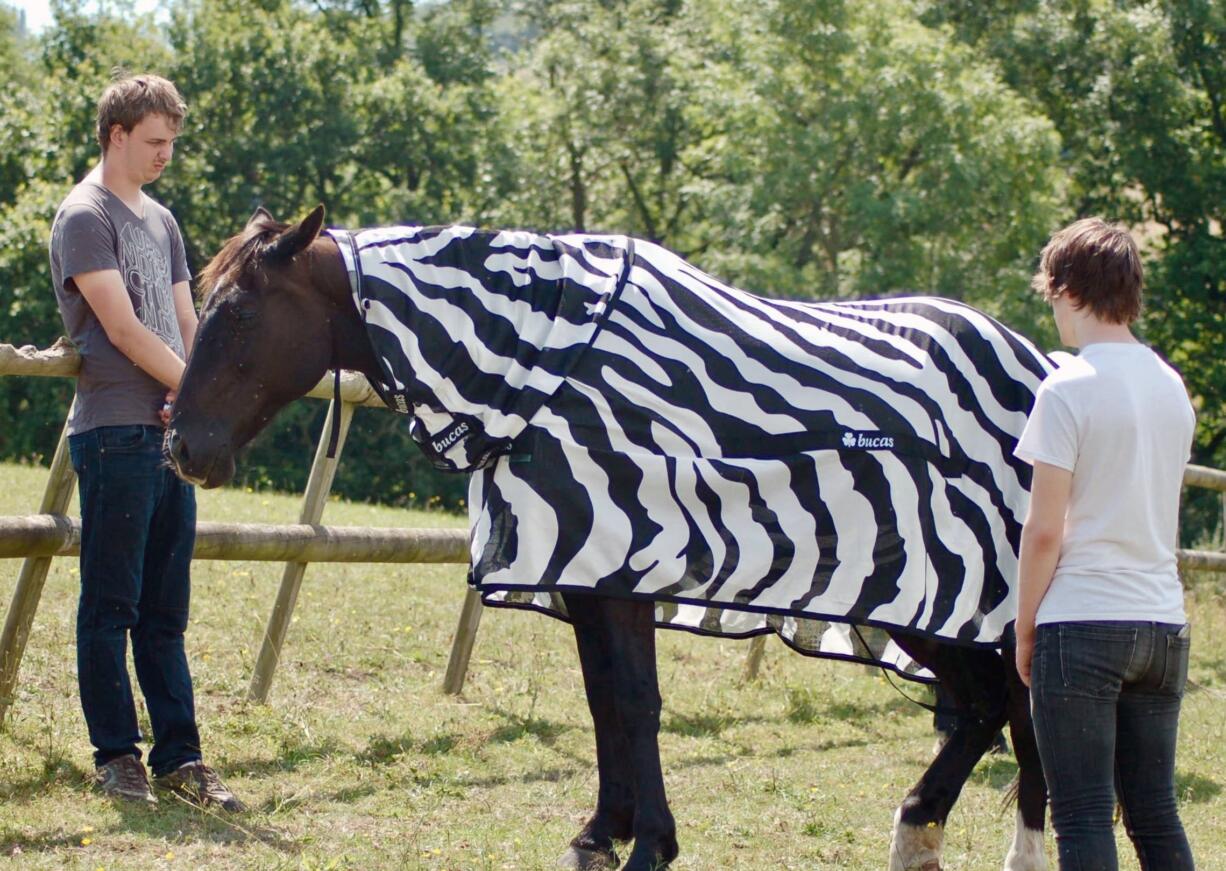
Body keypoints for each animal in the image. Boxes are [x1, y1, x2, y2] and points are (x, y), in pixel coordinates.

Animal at [167, 206, 1049, 871]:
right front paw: (602, 831)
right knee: (989, 707)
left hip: (955, 600)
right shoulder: (584, 571)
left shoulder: (626, 563)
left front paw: (650, 844)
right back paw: (921, 832)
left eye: (237, 311)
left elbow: (635, 700)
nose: (181, 447)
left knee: (1012, 708)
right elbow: (603, 700)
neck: (552, 370)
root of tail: (1034, 364)